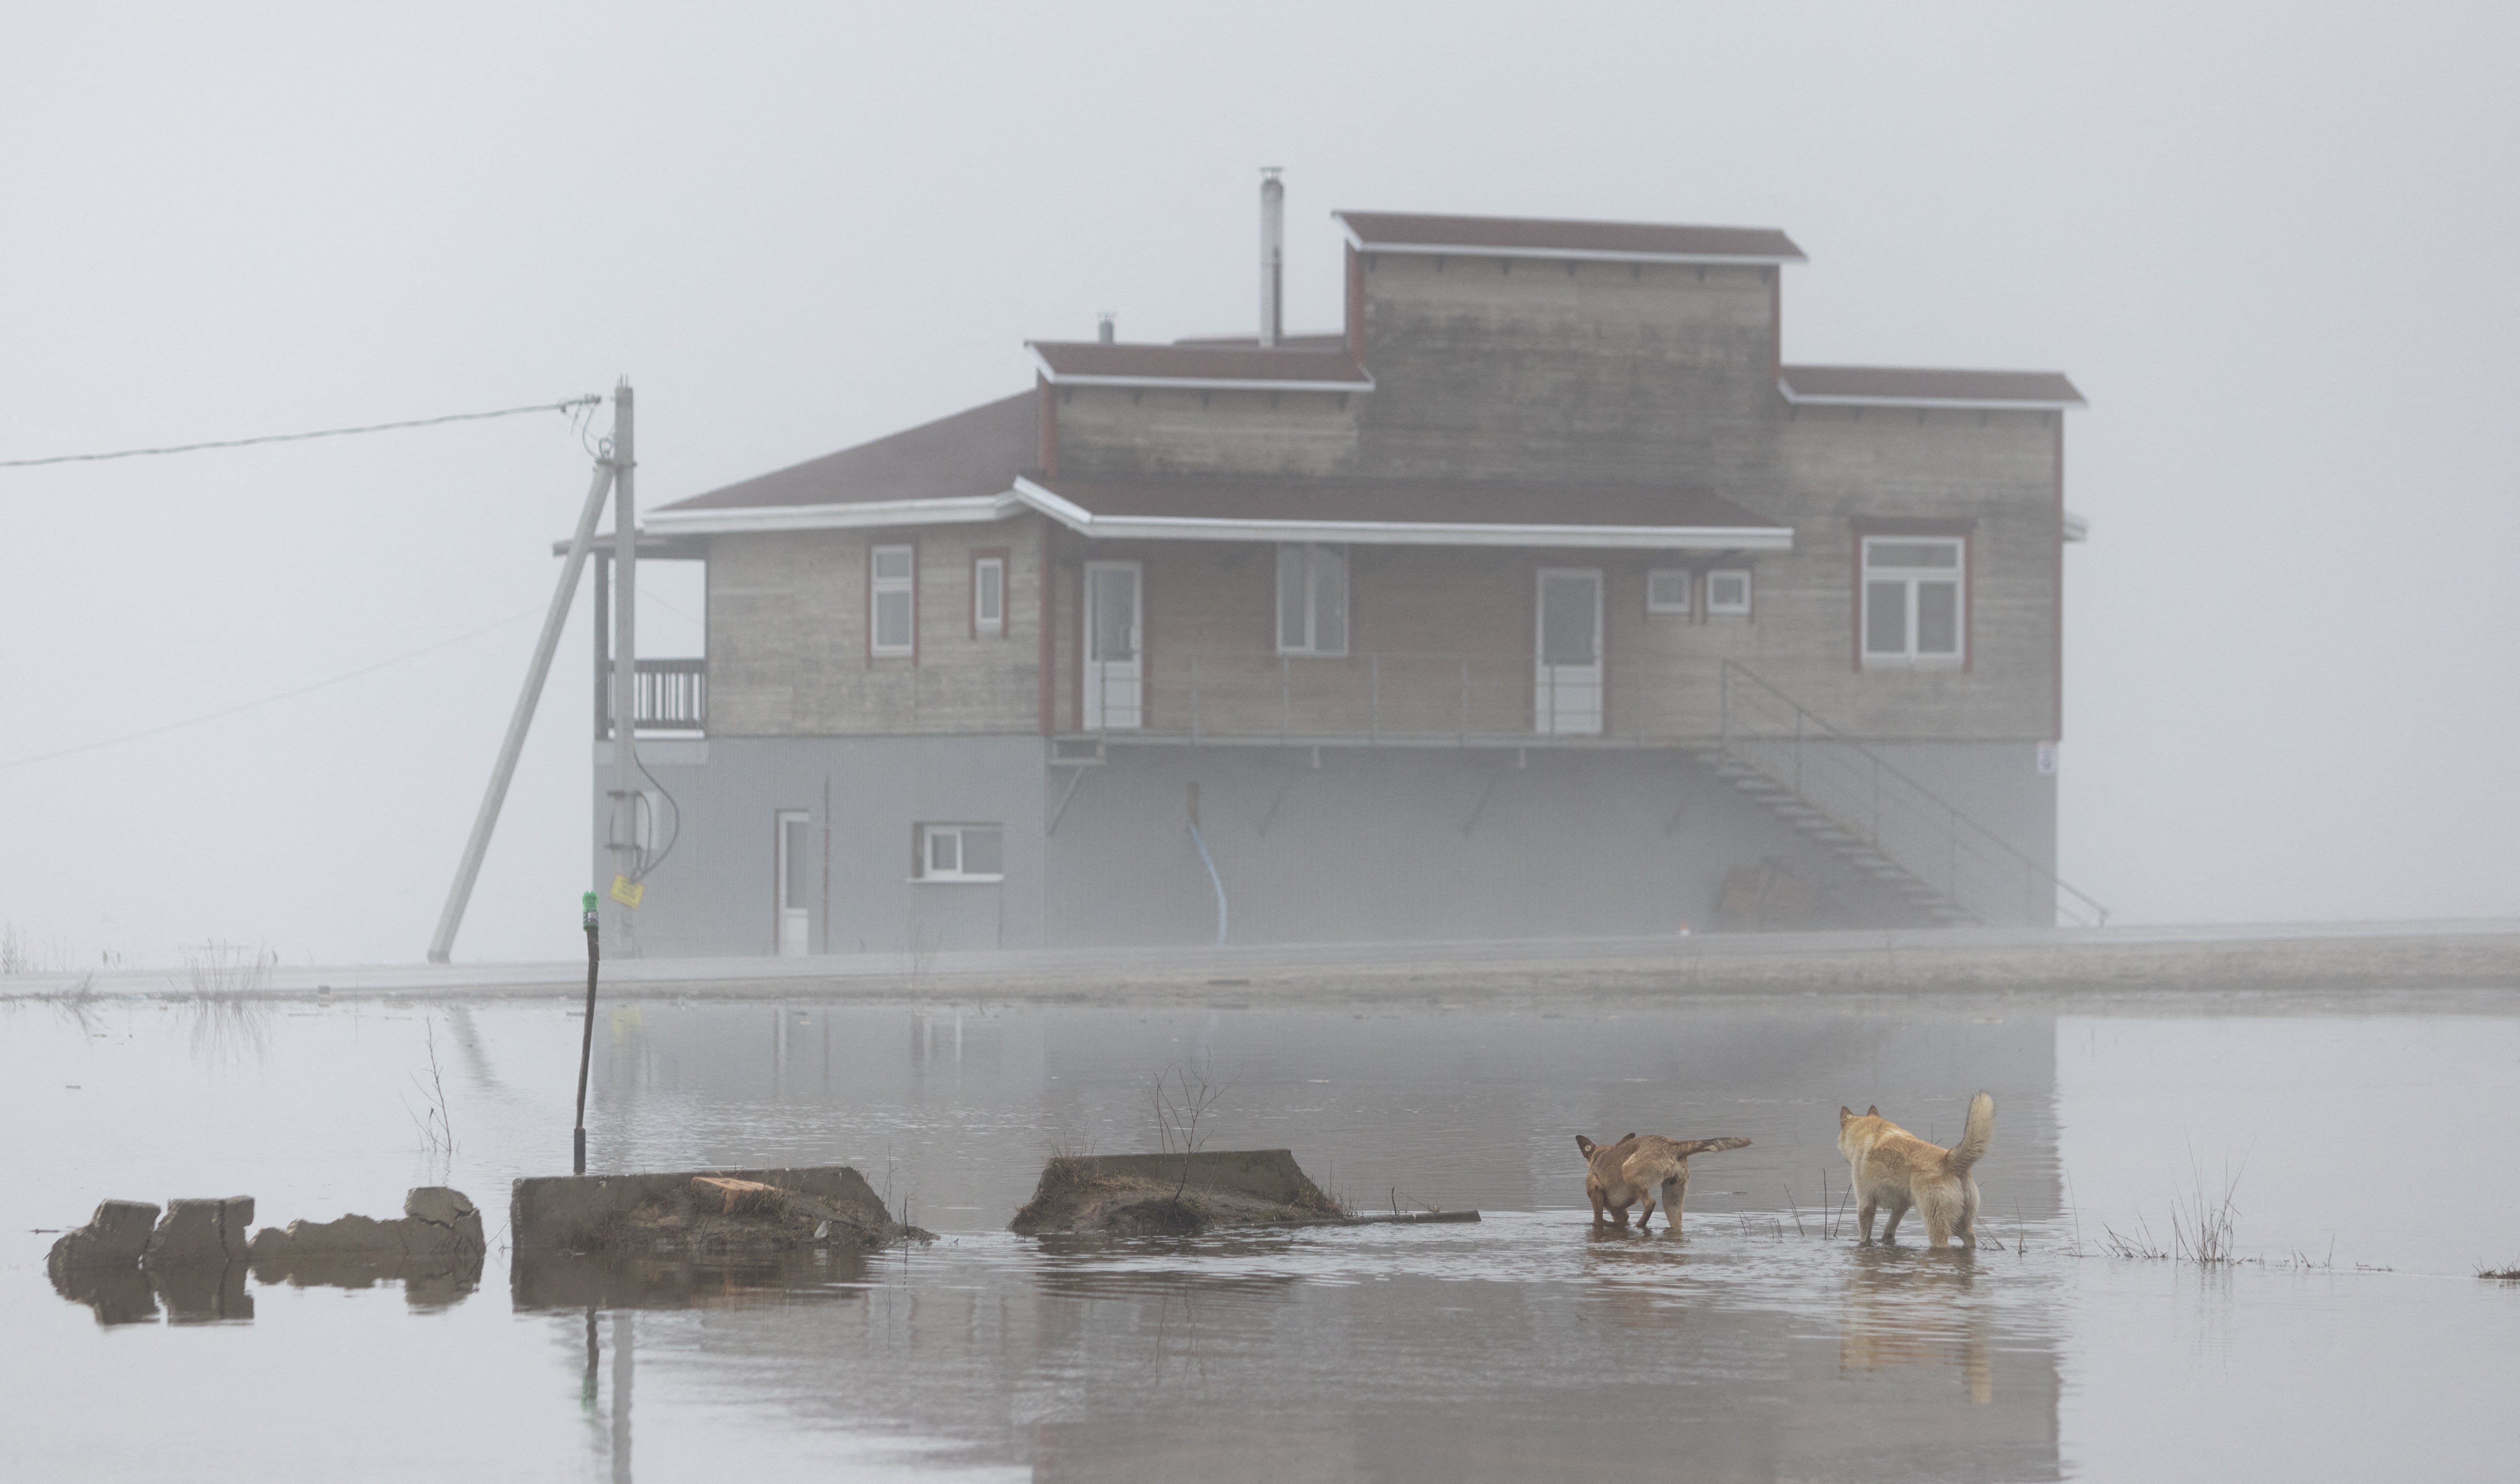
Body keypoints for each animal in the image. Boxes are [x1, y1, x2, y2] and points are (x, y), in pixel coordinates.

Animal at [1572, 1134, 1754, 1224]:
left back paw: (1640, 1226)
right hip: (1673, 1204)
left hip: (1629, 1172)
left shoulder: (1597, 1195)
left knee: (1650, 1203)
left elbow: (1598, 1219)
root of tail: (1674, 1145)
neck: (1600, 1155)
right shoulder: (1619, 1212)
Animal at [1844, 1093, 1996, 1245]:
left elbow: (1865, 1234)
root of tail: (1949, 1160)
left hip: (1935, 1223)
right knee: (1970, 1237)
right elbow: (1890, 1226)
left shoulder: (1865, 1202)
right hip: (1959, 1223)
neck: (1875, 1131)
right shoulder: (1901, 1206)